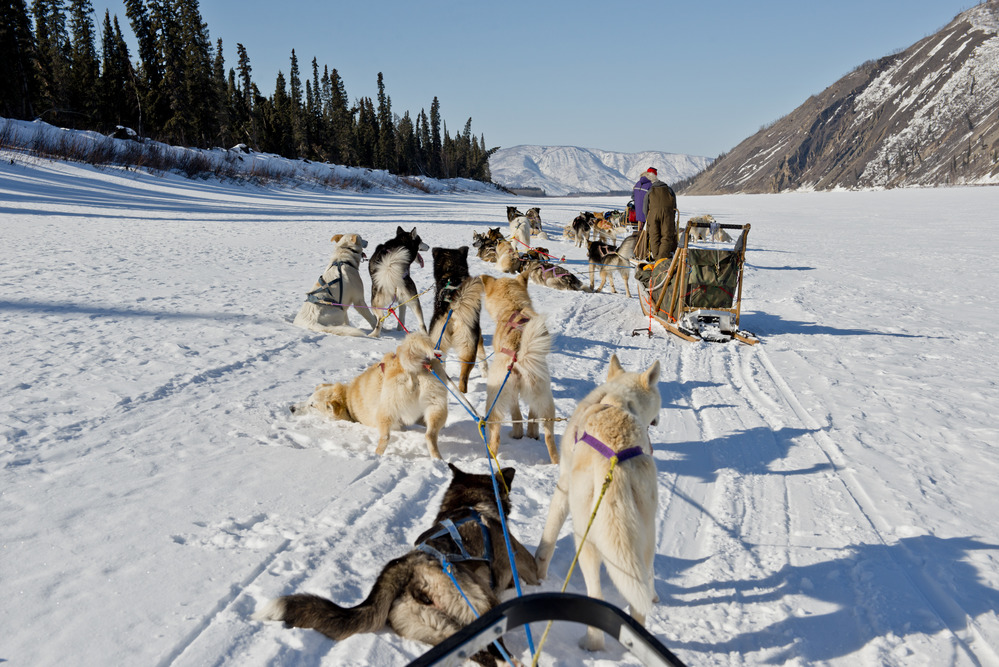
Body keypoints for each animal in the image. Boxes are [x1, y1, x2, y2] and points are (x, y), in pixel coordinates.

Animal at [254, 462, 539, 666]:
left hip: (439, 628)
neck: (469, 503)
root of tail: (407, 567)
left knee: (483, 655)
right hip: (480, 605)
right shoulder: (513, 562)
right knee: (497, 652)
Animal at [290, 331, 448, 458]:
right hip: (437, 408)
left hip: (385, 412)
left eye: (312, 405)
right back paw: (437, 459)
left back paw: (376, 455)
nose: (291, 408)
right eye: (308, 399)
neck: (348, 398)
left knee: (385, 437)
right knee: (430, 435)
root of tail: (411, 369)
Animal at [480, 272, 559, 463]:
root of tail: (519, 356)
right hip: (546, 399)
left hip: (495, 399)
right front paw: (528, 433)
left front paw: (517, 434)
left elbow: (516, 413)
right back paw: (555, 461)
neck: (514, 306)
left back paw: (490, 455)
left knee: (495, 436)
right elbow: (530, 415)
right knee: (548, 436)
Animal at [535, 354, 662, 651]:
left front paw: (539, 573)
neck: (617, 399)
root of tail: (614, 463)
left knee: (596, 593)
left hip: (585, 538)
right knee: (640, 593)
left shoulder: (563, 487)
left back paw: (591, 643)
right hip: (646, 536)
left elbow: (548, 538)